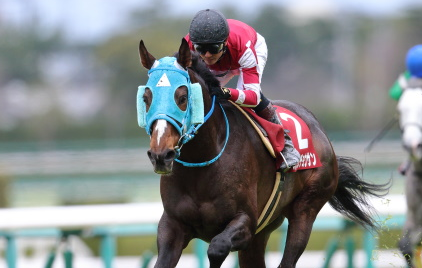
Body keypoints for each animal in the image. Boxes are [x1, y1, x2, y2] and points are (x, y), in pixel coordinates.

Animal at [137, 38, 390, 268]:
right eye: (146, 98)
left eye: (182, 98)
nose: (161, 155)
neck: (202, 163)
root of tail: (319, 128)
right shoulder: (172, 226)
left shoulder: (246, 223)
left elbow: (217, 249)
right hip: (264, 230)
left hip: (307, 207)